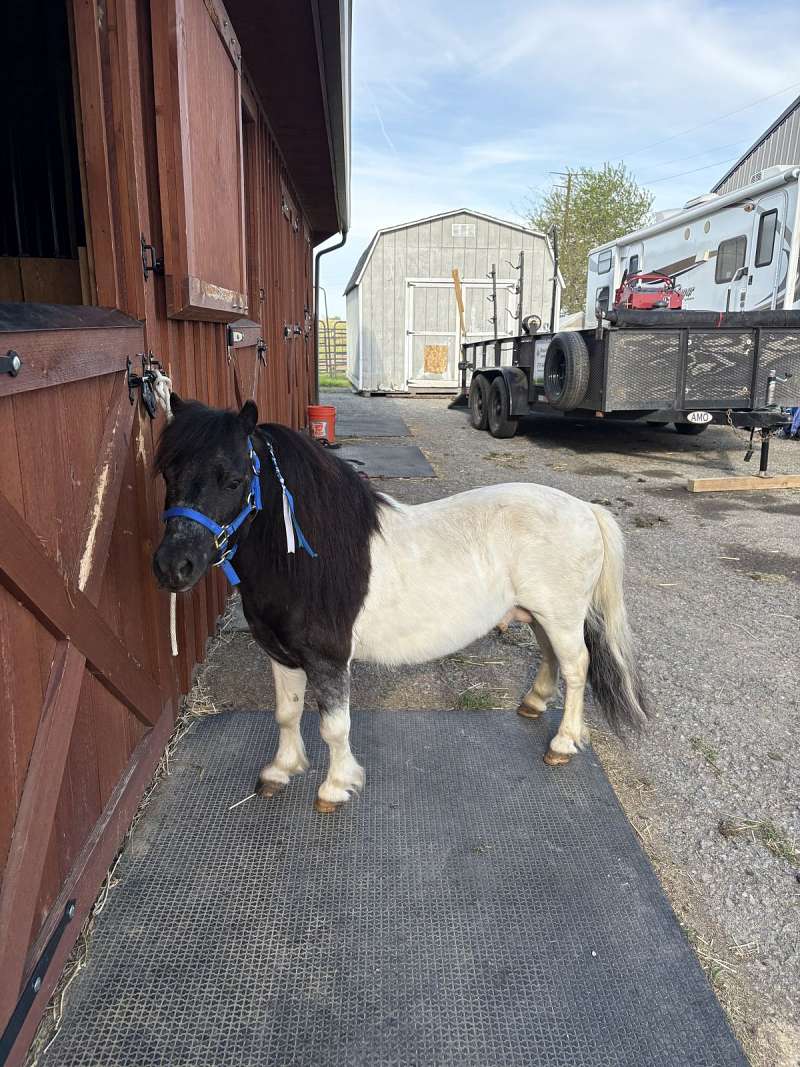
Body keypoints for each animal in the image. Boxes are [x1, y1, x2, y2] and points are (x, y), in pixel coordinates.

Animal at [152, 396, 648, 813]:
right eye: (167, 474)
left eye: (234, 480)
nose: (174, 566)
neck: (309, 559)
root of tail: (585, 509)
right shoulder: (281, 654)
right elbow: (287, 712)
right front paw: (281, 770)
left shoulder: (328, 660)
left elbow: (334, 726)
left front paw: (336, 787)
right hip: (542, 616)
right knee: (550, 657)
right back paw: (533, 703)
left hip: (562, 617)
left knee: (576, 667)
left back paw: (562, 744)